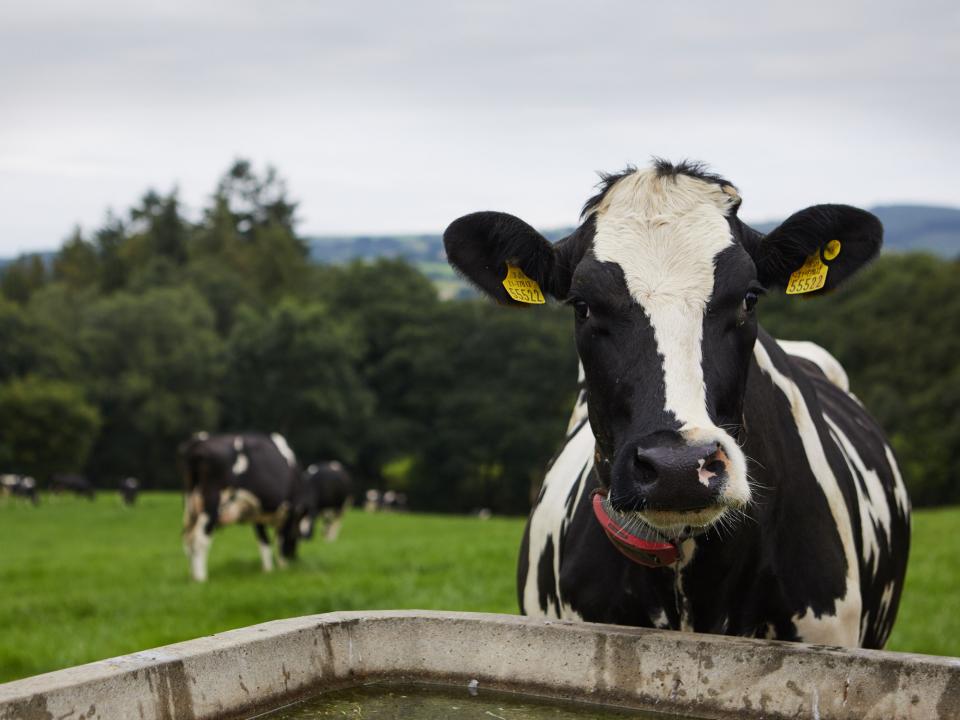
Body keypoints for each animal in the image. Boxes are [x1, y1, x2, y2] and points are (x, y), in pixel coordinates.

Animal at [180, 431, 302, 582]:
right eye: (296, 537)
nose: (294, 557)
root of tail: (198, 442)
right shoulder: (288, 510)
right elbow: (280, 539)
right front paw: (282, 566)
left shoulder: (257, 513)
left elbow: (264, 541)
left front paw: (268, 570)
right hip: (212, 503)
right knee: (199, 539)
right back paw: (201, 578)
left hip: (190, 506)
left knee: (188, 539)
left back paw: (192, 576)